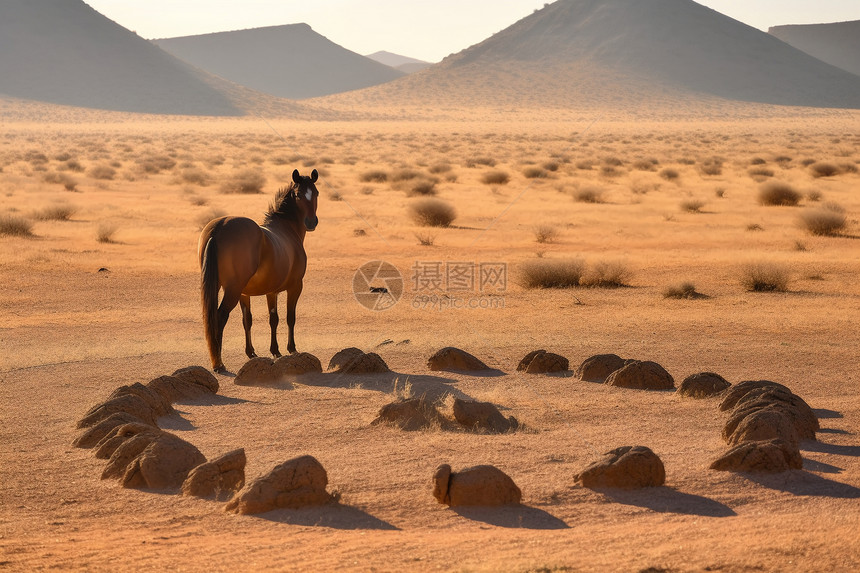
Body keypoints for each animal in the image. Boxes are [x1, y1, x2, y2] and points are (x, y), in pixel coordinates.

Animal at [198, 168, 320, 370]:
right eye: (298, 194)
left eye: (316, 193)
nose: (311, 222)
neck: (287, 229)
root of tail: (219, 227)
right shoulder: (295, 287)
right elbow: (290, 317)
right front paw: (291, 348)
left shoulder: (261, 292)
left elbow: (260, 319)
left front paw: (261, 351)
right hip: (232, 290)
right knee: (220, 317)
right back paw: (219, 362)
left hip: (220, 287)